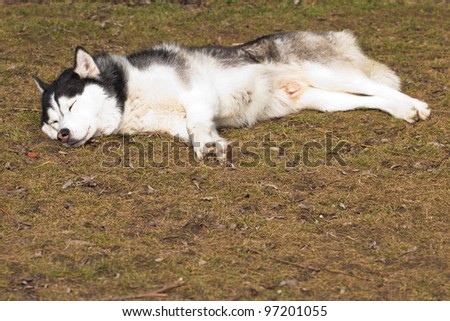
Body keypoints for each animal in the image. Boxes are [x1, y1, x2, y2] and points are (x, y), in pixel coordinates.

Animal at [35, 30, 428, 158]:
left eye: (71, 104)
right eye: (52, 123)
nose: (64, 134)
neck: (128, 94)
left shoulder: (196, 89)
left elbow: (196, 119)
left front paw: (207, 145)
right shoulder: (180, 121)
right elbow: (194, 129)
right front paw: (209, 143)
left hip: (327, 72)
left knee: (379, 86)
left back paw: (417, 106)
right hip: (327, 100)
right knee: (371, 99)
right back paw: (401, 111)